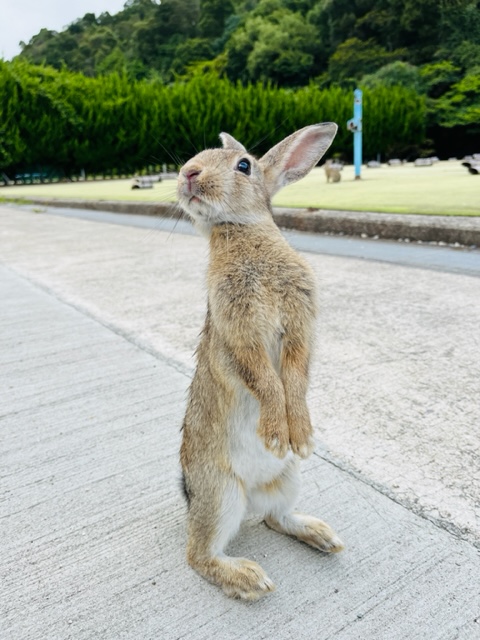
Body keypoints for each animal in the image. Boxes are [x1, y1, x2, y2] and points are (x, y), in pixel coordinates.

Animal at [178, 124, 344, 600]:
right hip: (221, 493)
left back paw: (324, 536)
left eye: (243, 165)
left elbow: (295, 377)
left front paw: (300, 437)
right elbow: (265, 380)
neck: (240, 230)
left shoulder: (299, 325)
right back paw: (250, 579)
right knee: (198, 555)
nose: (188, 173)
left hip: (287, 480)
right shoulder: (239, 335)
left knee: (275, 518)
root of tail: (250, 495)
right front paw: (275, 434)